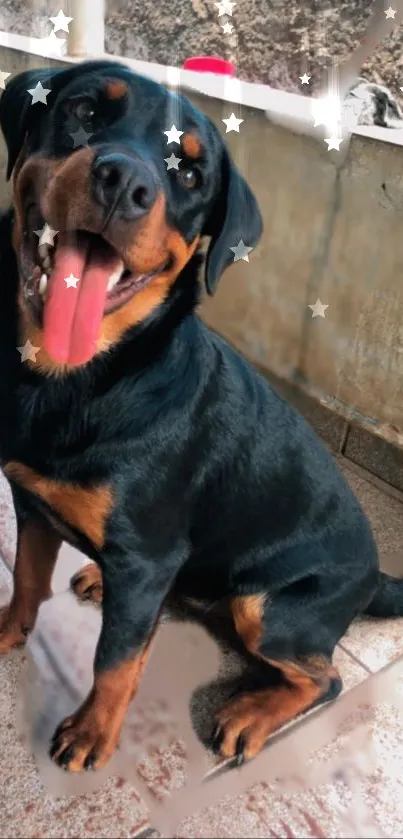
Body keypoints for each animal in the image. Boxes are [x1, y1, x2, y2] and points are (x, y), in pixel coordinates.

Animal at [0, 60, 403, 776]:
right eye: (83, 111)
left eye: (189, 175)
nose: (125, 183)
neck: (83, 378)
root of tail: (375, 578)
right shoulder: (30, 499)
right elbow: (25, 580)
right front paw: (7, 632)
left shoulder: (147, 557)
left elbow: (116, 661)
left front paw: (92, 732)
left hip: (266, 607)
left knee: (324, 678)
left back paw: (251, 715)